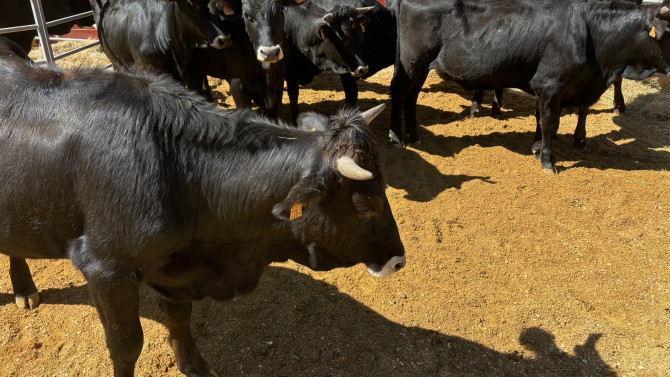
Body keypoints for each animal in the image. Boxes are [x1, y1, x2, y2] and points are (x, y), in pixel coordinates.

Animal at [0, 56, 404, 376]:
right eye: (364, 204)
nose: (399, 260)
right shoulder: (104, 268)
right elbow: (126, 345)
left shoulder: (175, 268)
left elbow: (180, 319)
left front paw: (194, 366)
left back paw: (24, 288)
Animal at [392, 0, 670, 173]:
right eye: (667, 33)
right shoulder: (551, 84)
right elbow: (549, 122)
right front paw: (547, 160)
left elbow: (542, 118)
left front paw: (537, 148)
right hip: (411, 62)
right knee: (399, 93)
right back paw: (396, 138)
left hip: (422, 67)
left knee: (411, 97)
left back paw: (414, 136)